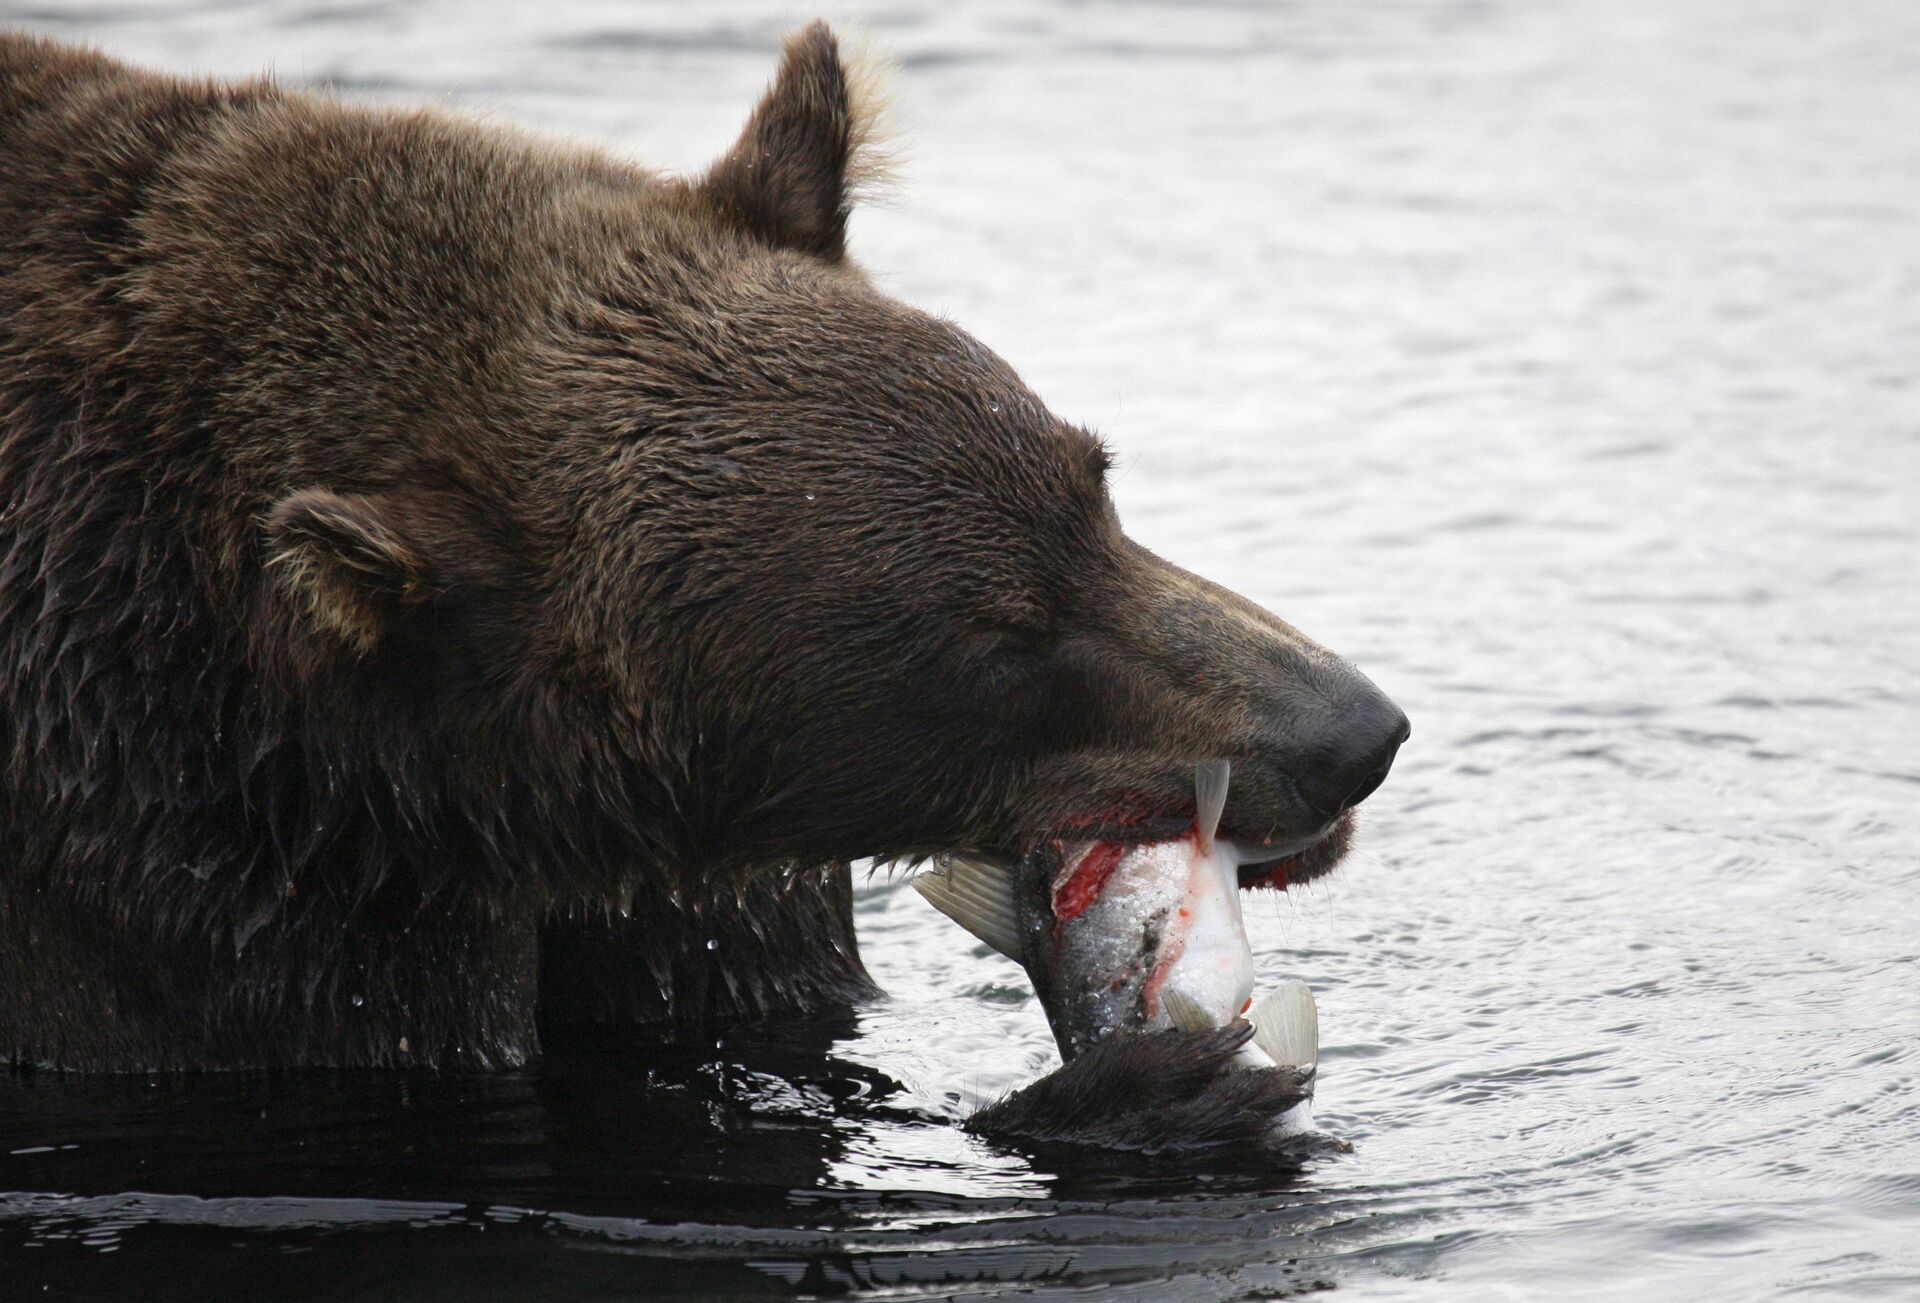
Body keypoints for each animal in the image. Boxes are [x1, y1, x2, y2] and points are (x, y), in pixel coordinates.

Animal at [0, 22, 1413, 1151]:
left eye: (1094, 484)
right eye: (996, 646)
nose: (1351, 735)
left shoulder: (677, 886)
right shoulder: (207, 878)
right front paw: (1160, 1085)